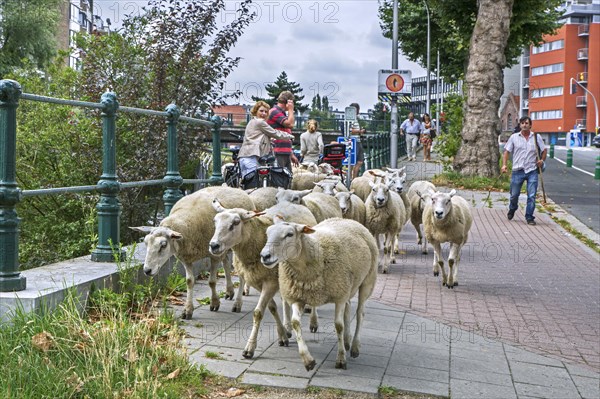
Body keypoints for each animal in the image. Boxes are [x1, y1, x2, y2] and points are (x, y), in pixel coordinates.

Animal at [131, 186, 253, 320]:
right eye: (145, 242)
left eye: (163, 245)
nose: (147, 270)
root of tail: (236, 188)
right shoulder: (186, 258)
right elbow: (189, 281)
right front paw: (188, 310)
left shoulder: (213, 255)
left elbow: (212, 282)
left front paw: (214, 303)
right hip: (223, 248)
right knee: (226, 263)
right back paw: (229, 291)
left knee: (240, 272)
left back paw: (238, 302)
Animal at [209, 200, 318, 360]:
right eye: (215, 222)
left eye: (235, 223)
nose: (213, 245)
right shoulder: (261, 281)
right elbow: (272, 307)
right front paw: (282, 335)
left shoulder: (270, 281)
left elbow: (258, 313)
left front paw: (249, 348)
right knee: (285, 300)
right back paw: (287, 326)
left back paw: (313, 322)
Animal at [260, 219, 378, 372]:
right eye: (267, 233)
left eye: (290, 234)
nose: (264, 256)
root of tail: (348, 220)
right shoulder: (298, 297)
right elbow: (295, 322)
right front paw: (308, 360)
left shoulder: (339, 296)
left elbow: (338, 326)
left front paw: (341, 359)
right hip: (348, 286)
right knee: (348, 309)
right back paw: (347, 340)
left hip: (367, 281)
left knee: (360, 313)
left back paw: (354, 347)